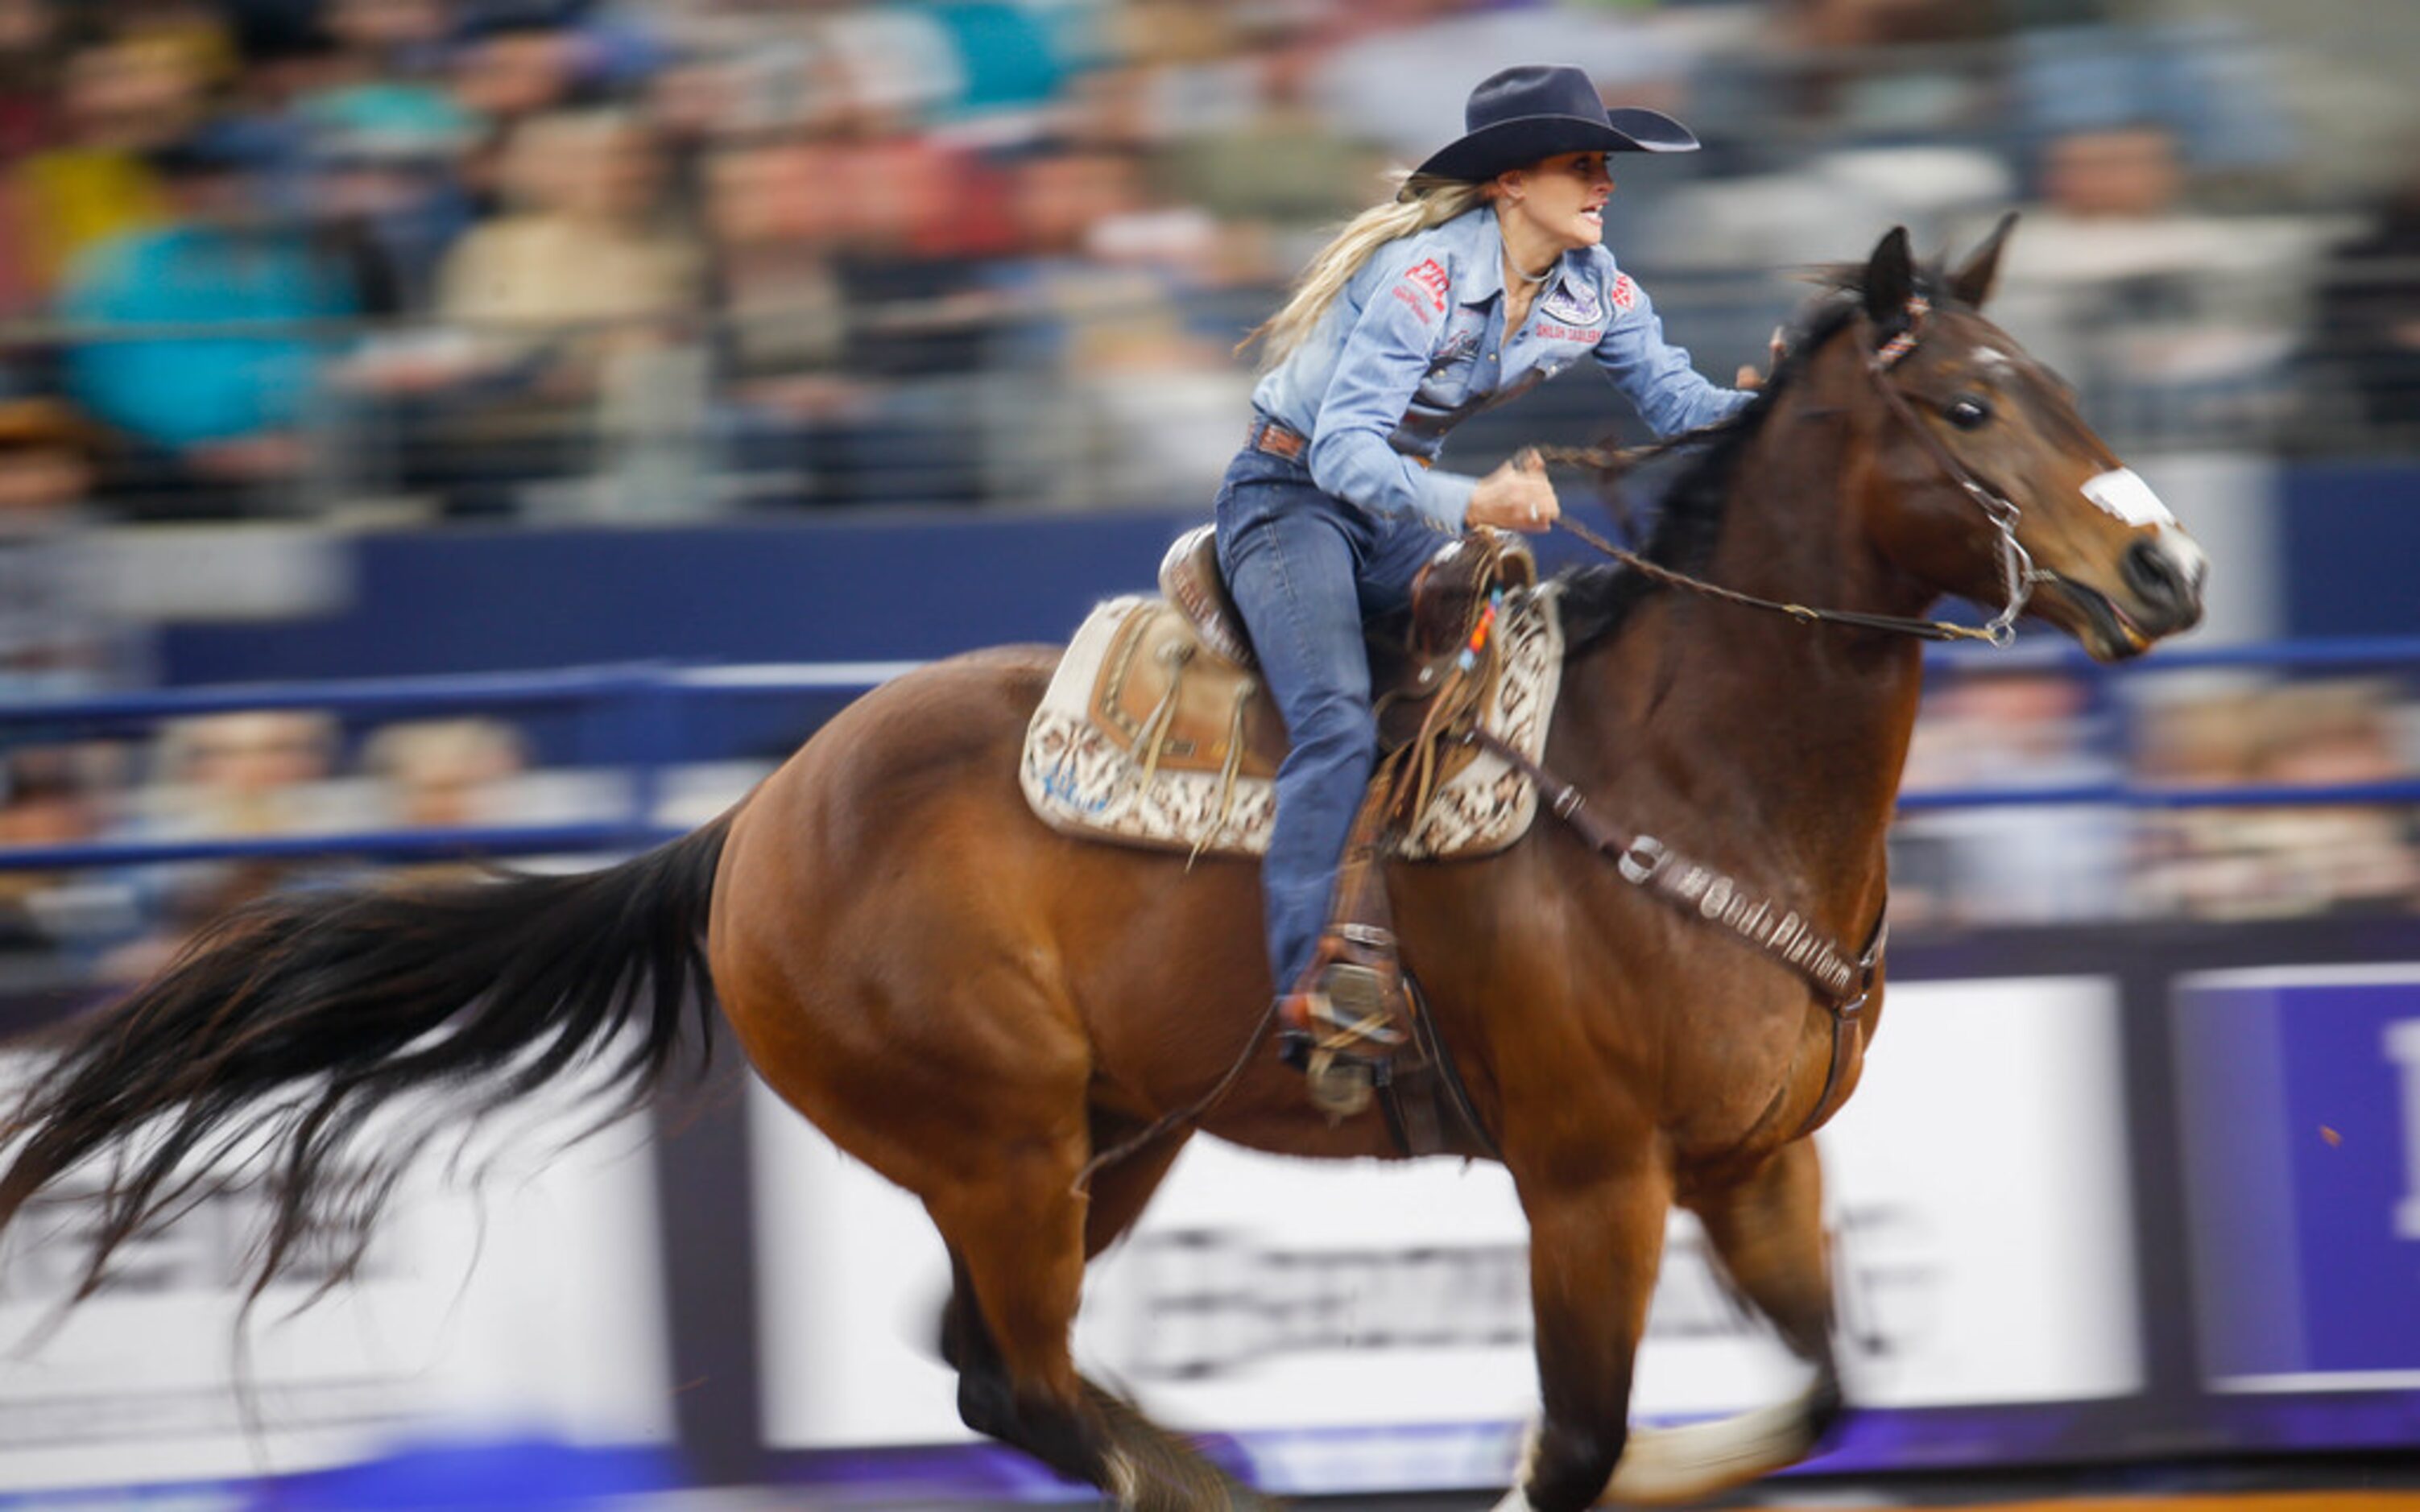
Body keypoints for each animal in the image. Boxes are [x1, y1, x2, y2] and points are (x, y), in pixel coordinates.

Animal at [0, 223, 2197, 1509]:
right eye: (1971, 401)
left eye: (2064, 376)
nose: (2168, 567)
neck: (1685, 772)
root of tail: (751, 820)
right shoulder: (1589, 1179)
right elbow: (1575, 1443)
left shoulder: (1756, 1159)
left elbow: (1822, 1391)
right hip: (992, 1138)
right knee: (1030, 1385)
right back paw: (1204, 1477)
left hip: (1115, 1132)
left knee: (994, 1380)